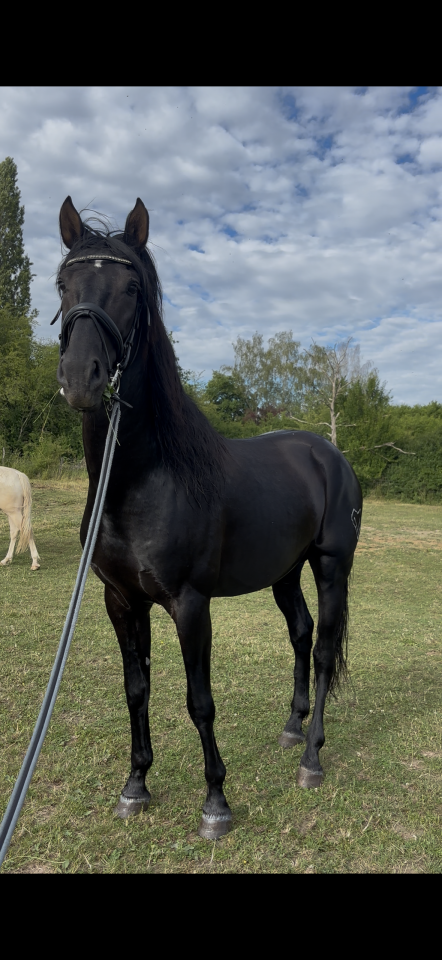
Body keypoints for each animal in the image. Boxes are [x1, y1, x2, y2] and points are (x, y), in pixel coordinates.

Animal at [54, 195, 362, 839]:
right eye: (63, 283)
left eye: (131, 287)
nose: (79, 379)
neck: (142, 480)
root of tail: (326, 453)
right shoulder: (121, 601)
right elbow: (137, 690)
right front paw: (136, 785)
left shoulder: (190, 604)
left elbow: (200, 701)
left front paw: (216, 802)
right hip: (284, 572)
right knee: (300, 634)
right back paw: (291, 727)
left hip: (330, 566)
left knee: (323, 650)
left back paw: (311, 756)